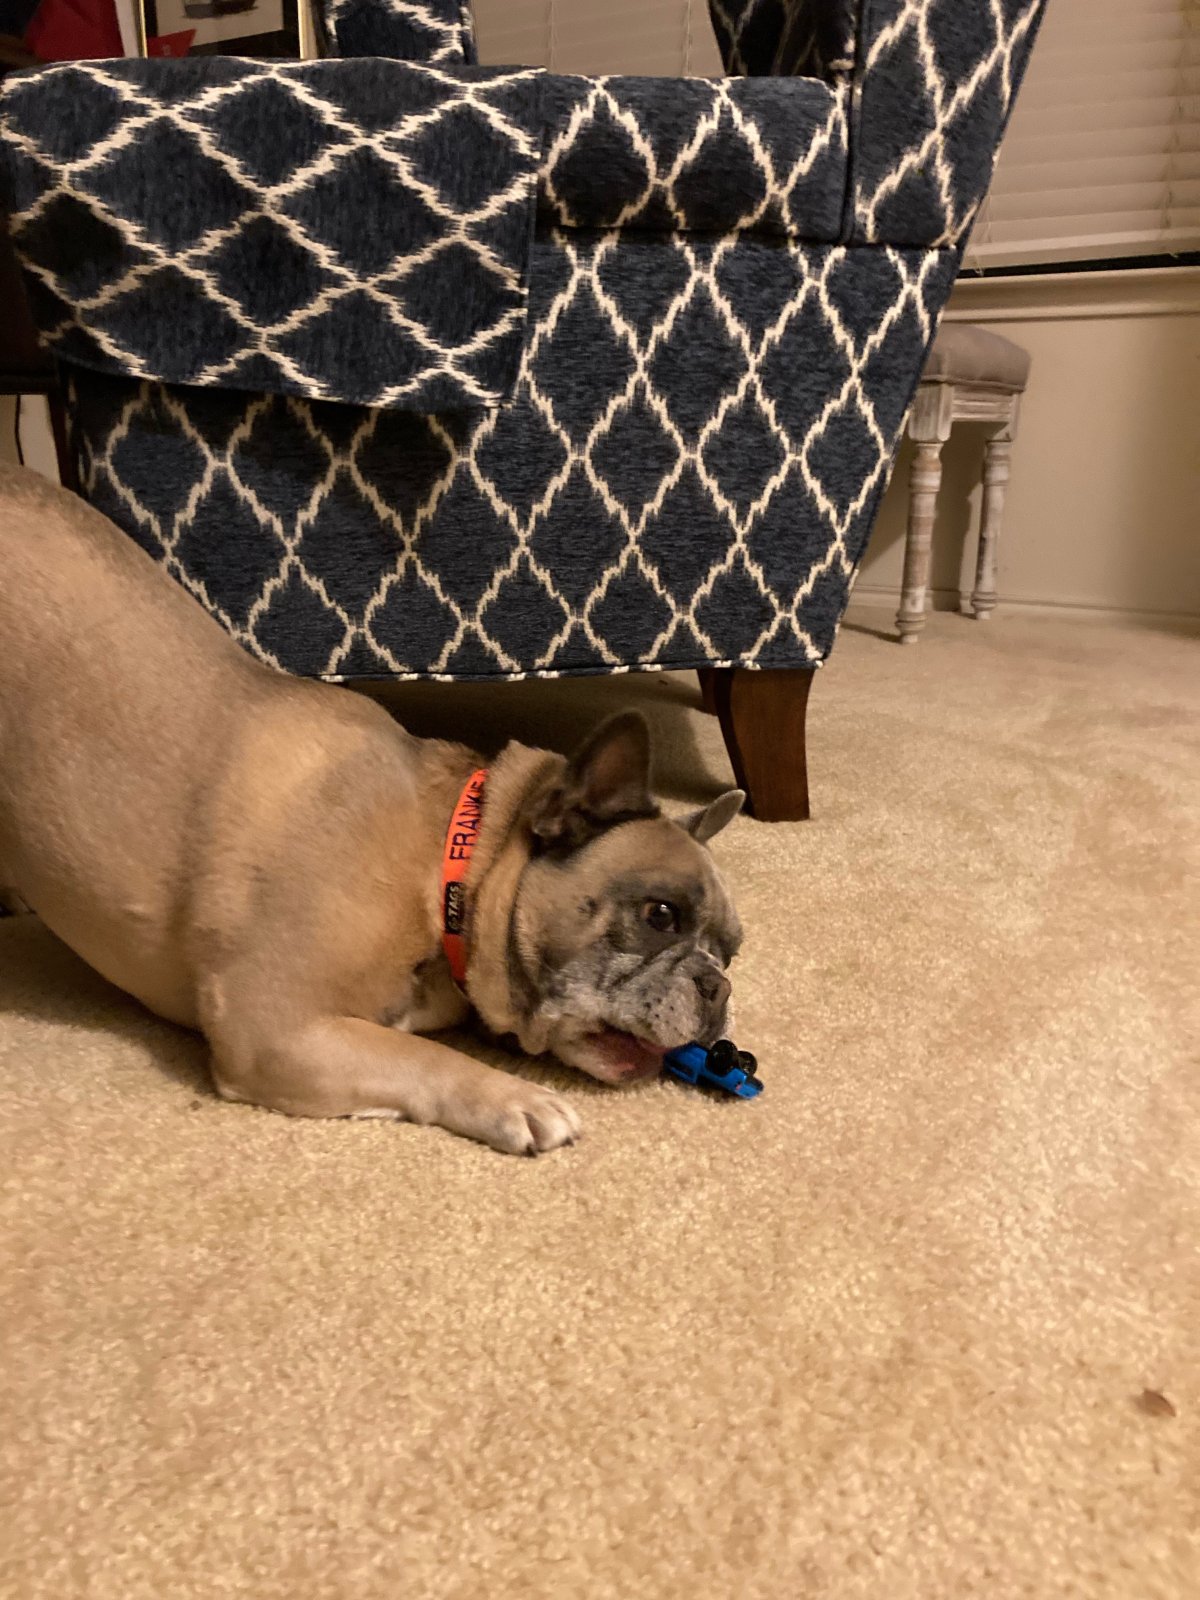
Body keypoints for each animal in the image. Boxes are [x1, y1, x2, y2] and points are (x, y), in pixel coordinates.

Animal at [0, 465, 743, 1154]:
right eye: (660, 916)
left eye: (732, 952)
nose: (718, 989)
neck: (449, 866)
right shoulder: (275, 1027)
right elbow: (421, 1054)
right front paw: (513, 1096)